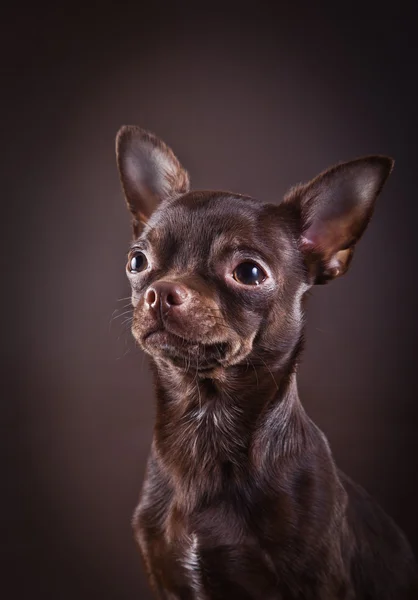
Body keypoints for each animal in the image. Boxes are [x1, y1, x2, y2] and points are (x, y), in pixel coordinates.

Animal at [115, 124, 418, 596]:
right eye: (137, 261)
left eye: (250, 273)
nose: (159, 291)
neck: (205, 415)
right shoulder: (166, 579)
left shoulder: (316, 582)